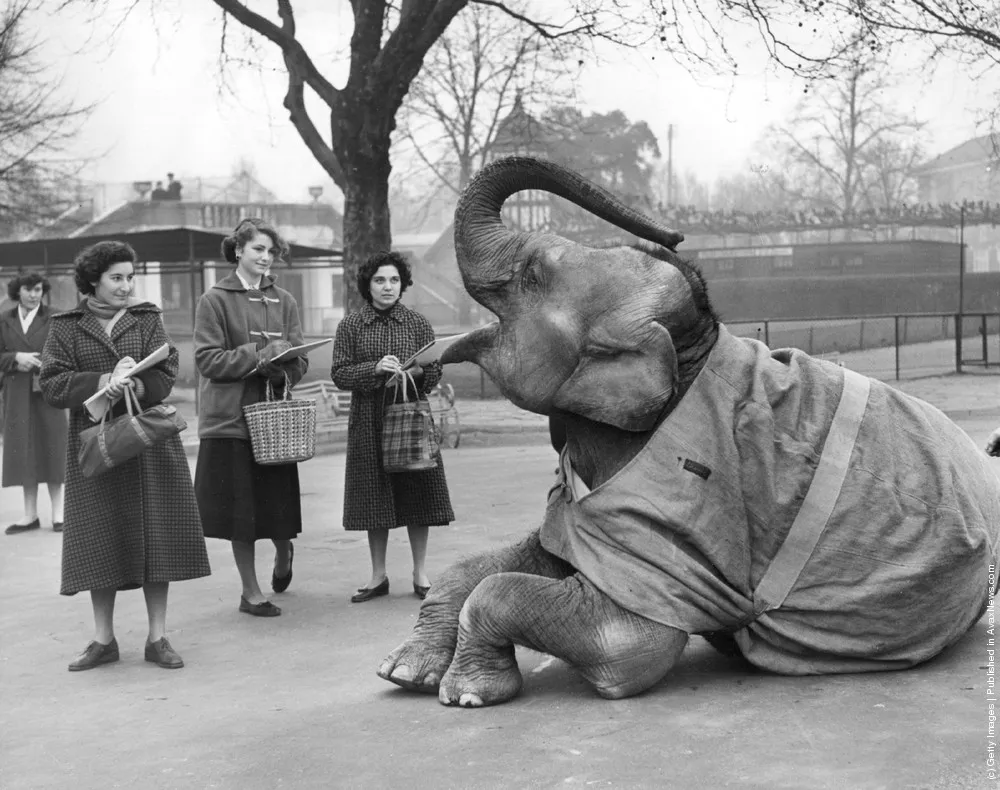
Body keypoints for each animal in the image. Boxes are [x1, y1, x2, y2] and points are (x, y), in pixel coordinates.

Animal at [378, 156, 1000, 708]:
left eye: (533, 276)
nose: (675, 234)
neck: (687, 350)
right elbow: (500, 561)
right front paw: (405, 672)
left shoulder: (677, 544)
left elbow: (625, 645)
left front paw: (467, 693)